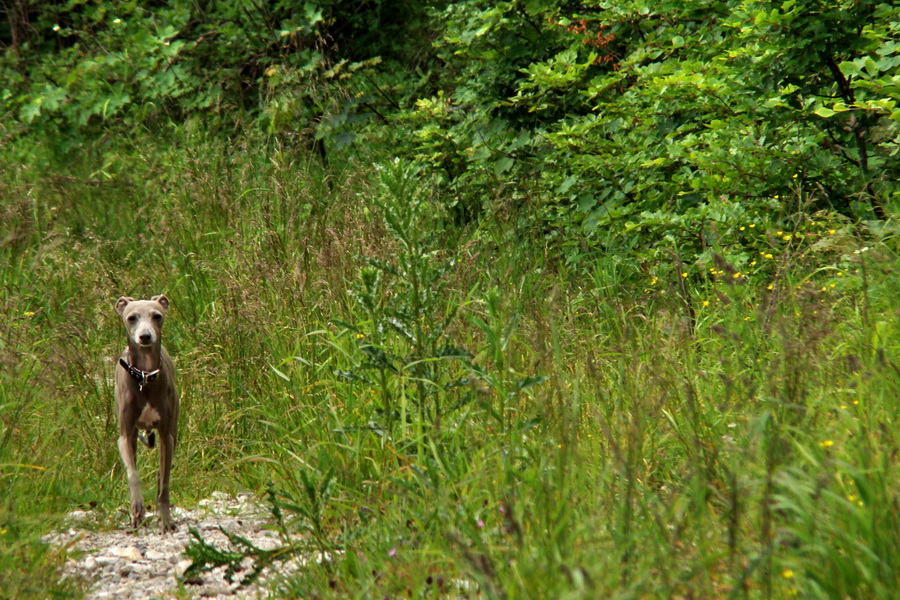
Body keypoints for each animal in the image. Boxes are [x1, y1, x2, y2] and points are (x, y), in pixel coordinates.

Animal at [114, 292, 179, 532]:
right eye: (131, 317)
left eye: (157, 316)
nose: (145, 336)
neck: (144, 375)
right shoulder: (125, 436)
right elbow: (133, 474)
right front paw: (137, 510)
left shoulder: (166, 435)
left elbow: (164, 484)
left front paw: (166, 520)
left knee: (162, 475)